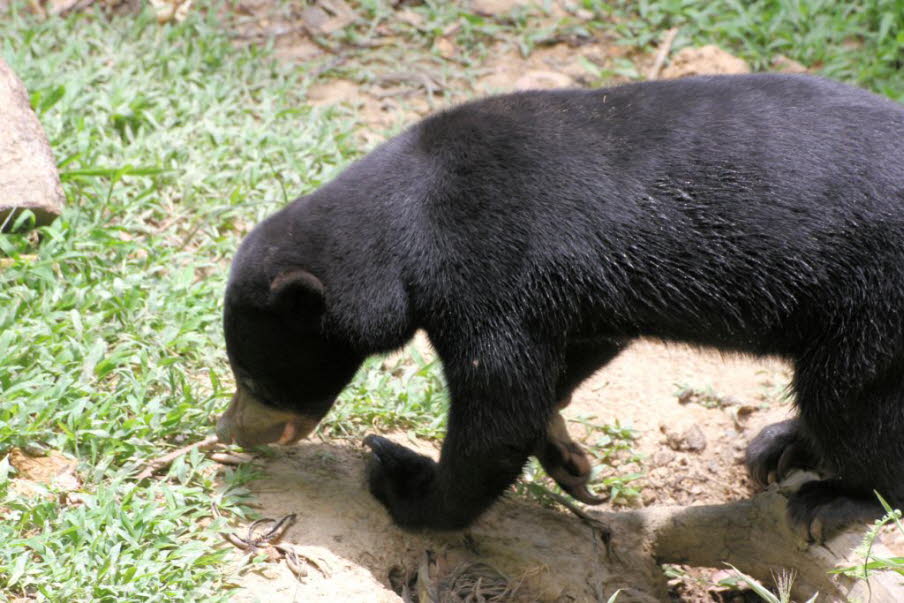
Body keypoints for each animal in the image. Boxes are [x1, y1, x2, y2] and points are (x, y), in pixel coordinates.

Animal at [217, 73, 904, 540]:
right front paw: (568, 459)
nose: (229, 435)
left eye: (252, 376)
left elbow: (499, 407)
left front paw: (401, 479)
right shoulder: (581, 289)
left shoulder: (489, 267)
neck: (411, 217)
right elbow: (572, 355)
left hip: (871, 302)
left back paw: (835, 496)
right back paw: (782, 446)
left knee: (849, 398)